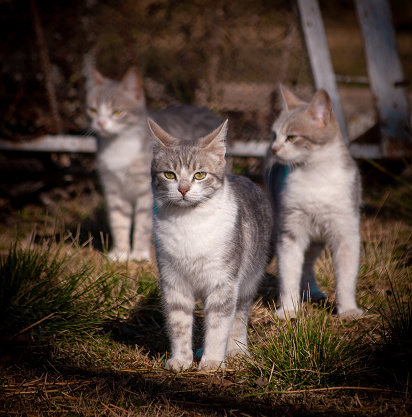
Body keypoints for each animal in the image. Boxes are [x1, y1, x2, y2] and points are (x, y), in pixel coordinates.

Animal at [85, 66, 220, 262]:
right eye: (93, 110)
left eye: (117, 112)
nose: (101, 123)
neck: (118, 146)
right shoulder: (114, 188)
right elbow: (119, 220)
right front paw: (120, 253)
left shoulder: (147, 191)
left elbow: (142, 223)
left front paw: (139, 254)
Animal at [148, 118, 274, 370]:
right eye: (169, 174)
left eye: (199, 175)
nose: (183, 189)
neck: (189, 223)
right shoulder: (173, 282)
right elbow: (179, 323)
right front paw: (181, 360)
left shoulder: (223, 282)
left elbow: (218, 325)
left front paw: (213, 361)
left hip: (248, 281)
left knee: (238, 317)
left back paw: (235, 350)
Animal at [264, 84, 364, 318]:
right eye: (274, 135)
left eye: (291, 137)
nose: (273, 148)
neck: (316, 175)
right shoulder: (290, 233)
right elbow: (289, 275)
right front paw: (288, 310)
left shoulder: (347, 233)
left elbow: (346, 278)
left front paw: (348, 310)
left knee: (308, 264)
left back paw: (314, 293)